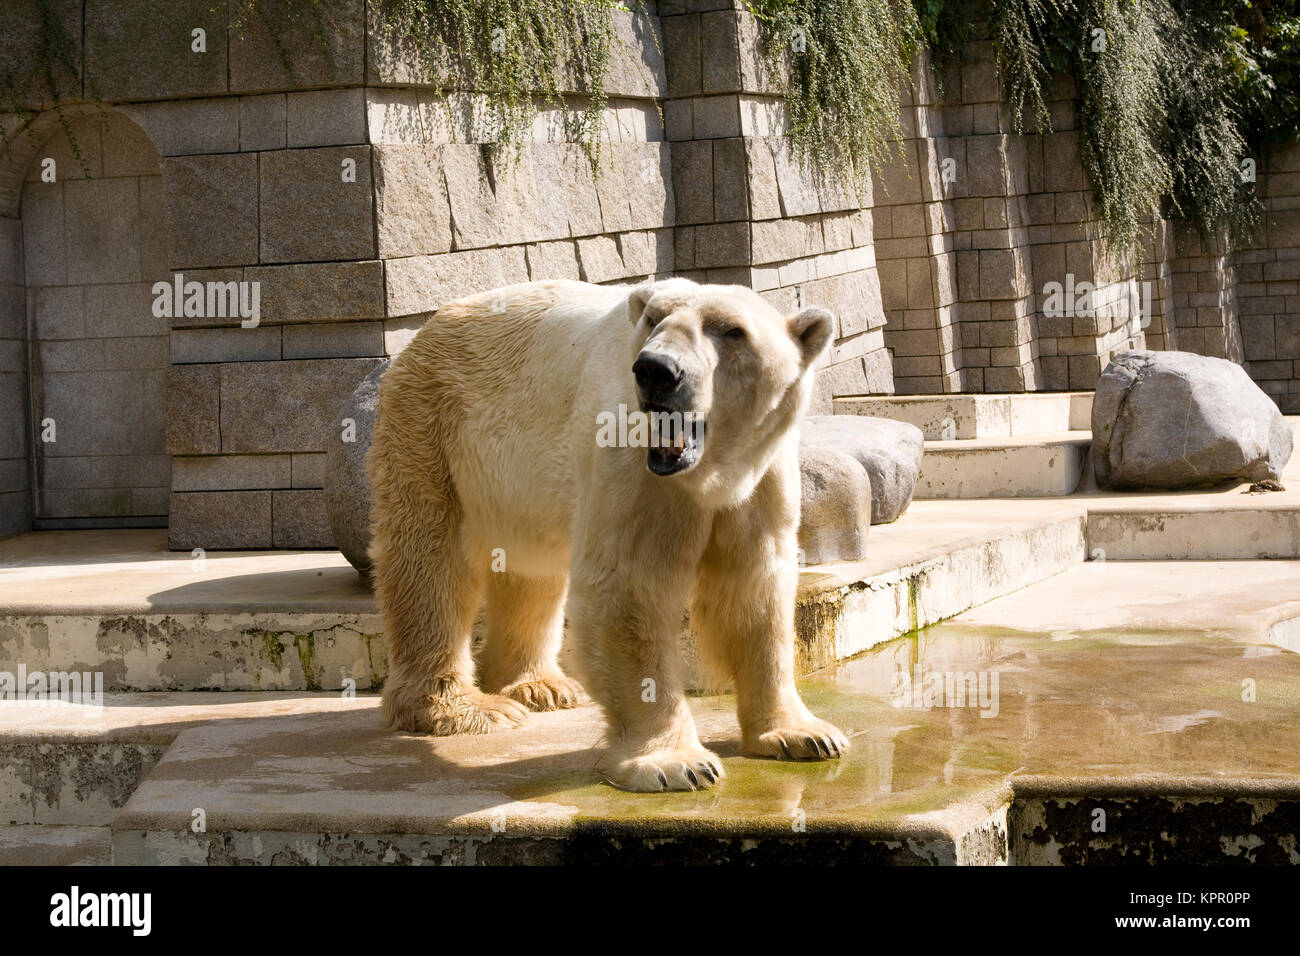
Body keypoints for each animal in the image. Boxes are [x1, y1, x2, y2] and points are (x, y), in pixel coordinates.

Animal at [369, 277, 852, 790]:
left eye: (730, 330)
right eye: (654, 319)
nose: (656, 370)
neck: (707, 473)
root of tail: (422, 333)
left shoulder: (763, 477)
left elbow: (756, 589)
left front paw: (805, 735)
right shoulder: (630, 460)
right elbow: (629, 588)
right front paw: (676, 762)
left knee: (530, 574)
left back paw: (541, 685)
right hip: (437, 429)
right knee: (431, 564)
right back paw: (465, 709)